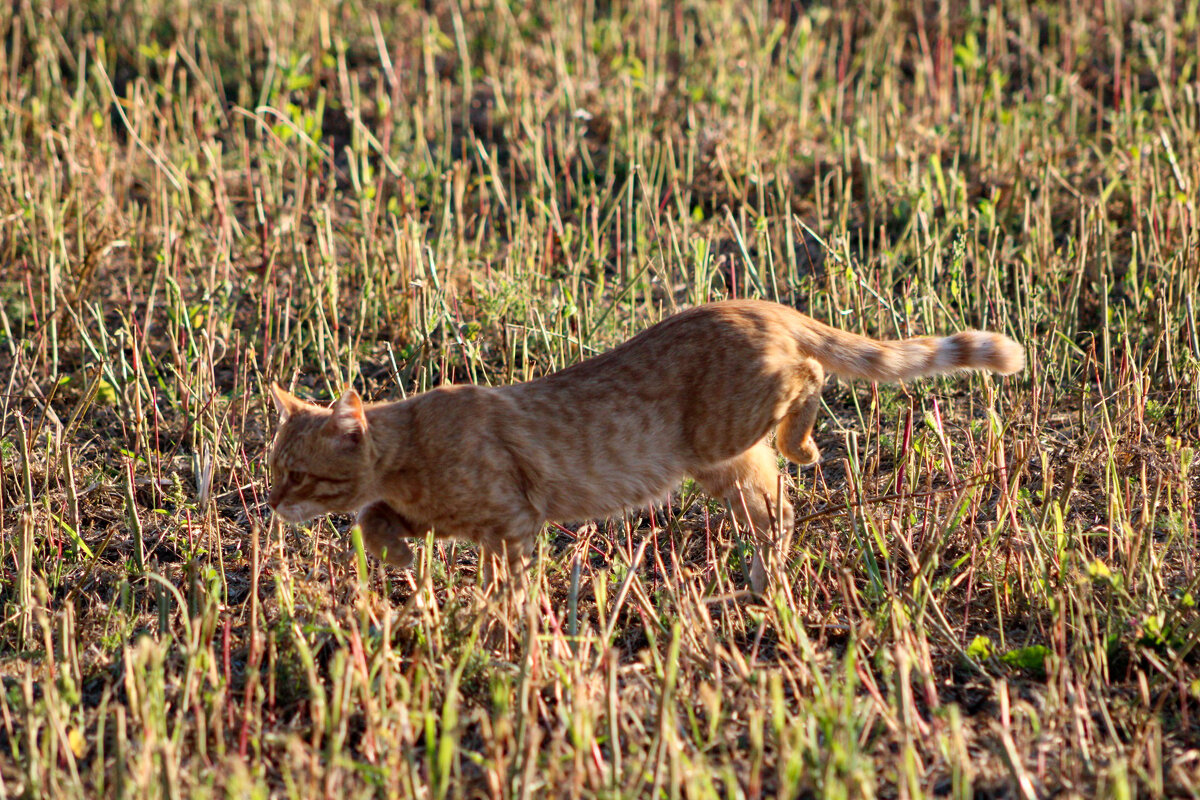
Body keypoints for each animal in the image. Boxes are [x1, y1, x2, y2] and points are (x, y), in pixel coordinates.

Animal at [265, 298, 1022, 587]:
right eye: (275, 470)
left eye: (299, 476)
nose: (270, 504)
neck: (409, 449)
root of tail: (756, 304)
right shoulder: (436, 516)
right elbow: (371, 520)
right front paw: (399, 559)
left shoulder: (511, 520)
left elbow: (509, 580)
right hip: (727, 466)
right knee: (777, 514)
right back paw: (762, 582)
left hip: (727, 433)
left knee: (810, 376)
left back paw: (803, 447)